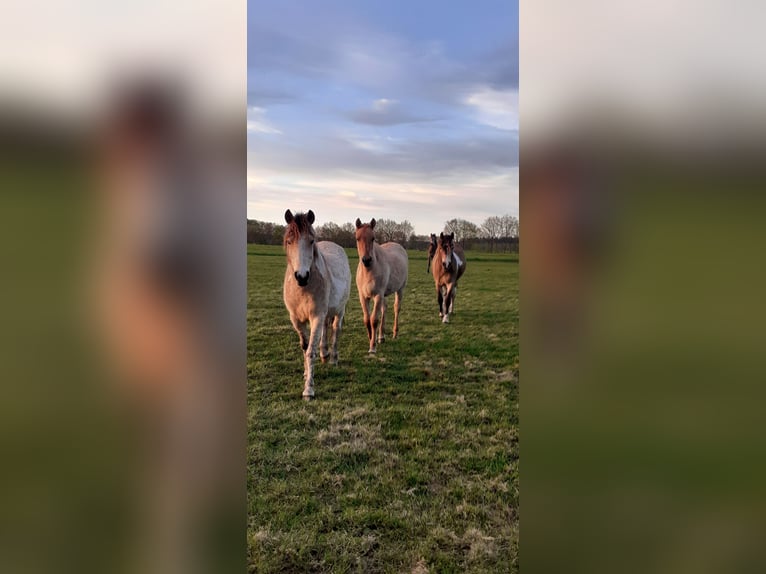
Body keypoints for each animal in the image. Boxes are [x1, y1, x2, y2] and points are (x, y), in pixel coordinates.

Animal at [283, 209, 351, 398]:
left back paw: (333, 358)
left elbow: (310, 352)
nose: (301, 276)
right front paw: (306, 374)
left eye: (311, 241)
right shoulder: (296, 320)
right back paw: (325, 354)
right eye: (289, 241)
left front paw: (308, 389)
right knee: (326, 330)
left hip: (339, 311)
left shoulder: (316, 317)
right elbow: (305, 347)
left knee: (336, 329)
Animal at [354, 218, 409, 353]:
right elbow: (367, 319)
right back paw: (381, 337)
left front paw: (372, 347)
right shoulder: (363, 297)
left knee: (396, 308)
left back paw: (395, 333)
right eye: (357, 238)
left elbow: (374, 320)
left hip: (400, 289)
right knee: (385, 309)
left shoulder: (378, 295)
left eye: (373, 238)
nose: (366, 260)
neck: (368, 271)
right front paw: (371, 338)